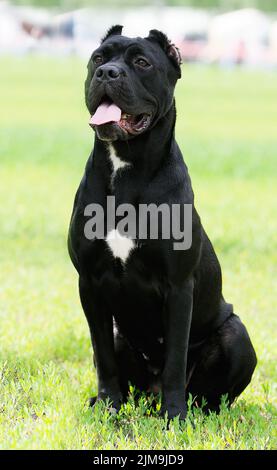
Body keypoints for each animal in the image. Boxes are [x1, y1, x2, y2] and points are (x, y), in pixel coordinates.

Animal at [67, 25, 256, 418]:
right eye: (98, 57)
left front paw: (175, 415)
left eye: (142, 63)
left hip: (237, 335)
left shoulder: (178, 286)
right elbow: (102, 355)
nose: (107, 73)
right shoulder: (89, 283)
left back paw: (195, 410)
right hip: (121, 334)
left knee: (211, 392)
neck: (126, 165)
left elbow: (174, 359)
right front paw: (108, 405)